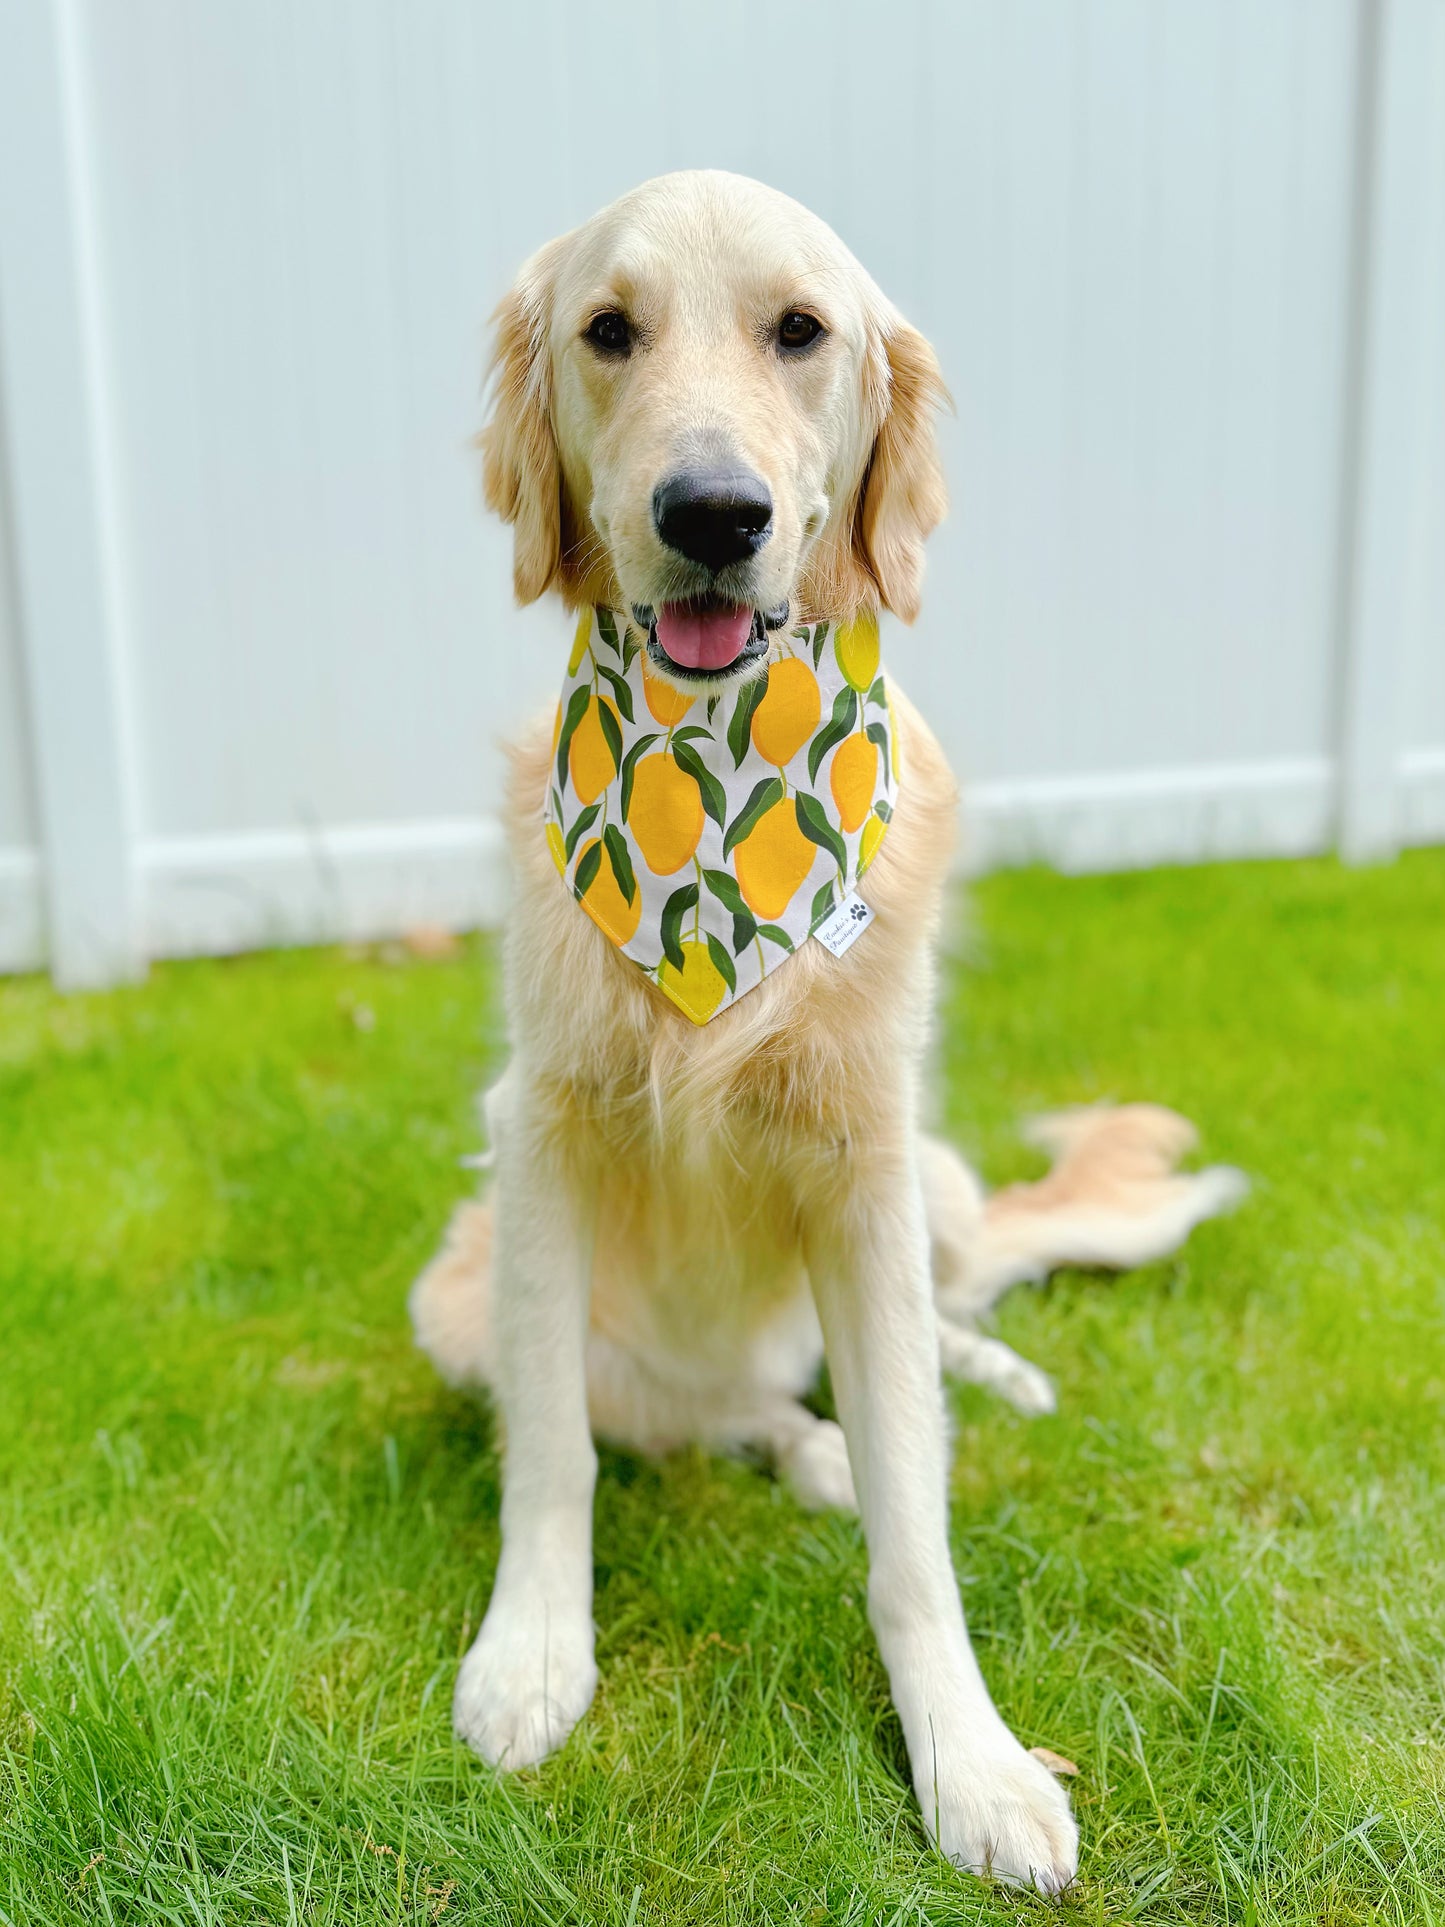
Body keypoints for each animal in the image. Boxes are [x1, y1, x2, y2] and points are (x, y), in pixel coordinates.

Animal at [410, 169, 1248, 1896]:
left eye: (800, 331)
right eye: (609, 329)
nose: (711, 513)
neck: (713, 804)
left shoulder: (865, 1167)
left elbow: (916, 1521)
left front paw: (974, 1760)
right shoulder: (539, 1139)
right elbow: (556, 1451)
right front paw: (533, 1652)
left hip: (932, 1174)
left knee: (925, 1338)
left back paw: (977, 1372)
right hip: (455, 1292)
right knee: (715, 1410)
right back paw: (802, 1447)